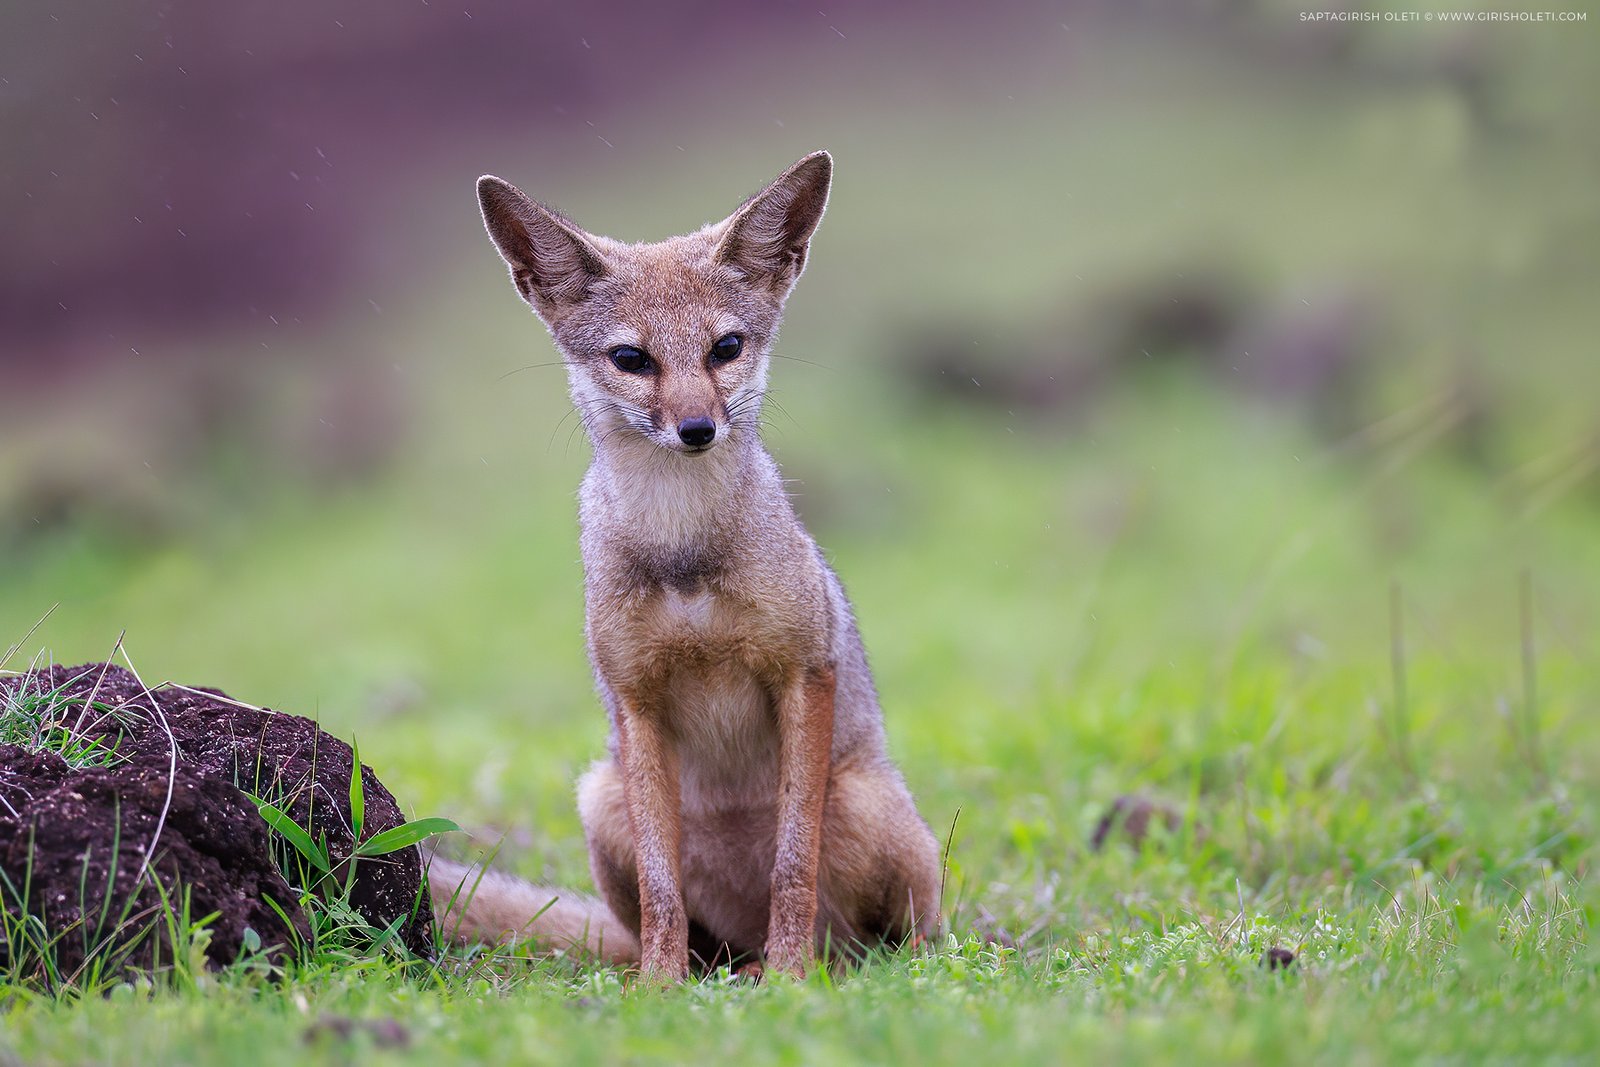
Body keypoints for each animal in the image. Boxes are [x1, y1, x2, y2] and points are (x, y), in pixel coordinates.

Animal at [428, 151, 943, 979]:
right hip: (602, 795)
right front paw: (656, 987)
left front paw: (791, 980)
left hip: (866, 805)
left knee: (903, 936)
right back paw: (710, 970)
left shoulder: (805, 671)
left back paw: (812, 965)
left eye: (724, 348)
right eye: (632, 359)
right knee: (682, 933)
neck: (684, 551)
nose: (697, 428)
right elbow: (662, 887)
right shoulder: (638, 702)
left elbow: (791, 865)